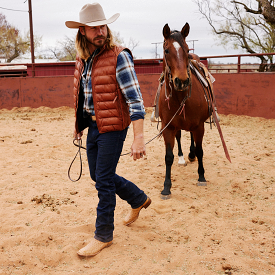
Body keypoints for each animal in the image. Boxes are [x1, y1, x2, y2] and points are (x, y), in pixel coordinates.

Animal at [160, 22, 211, 197]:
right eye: (166, 50)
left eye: (187, 50)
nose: (181, 81)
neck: (180, 96)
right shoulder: (168, 126)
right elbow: (168, 156)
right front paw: (166, 187)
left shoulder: (199, 125)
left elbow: (201, 150)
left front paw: (201, 177)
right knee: (180, 137)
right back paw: (183, 157)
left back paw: (191, 154)